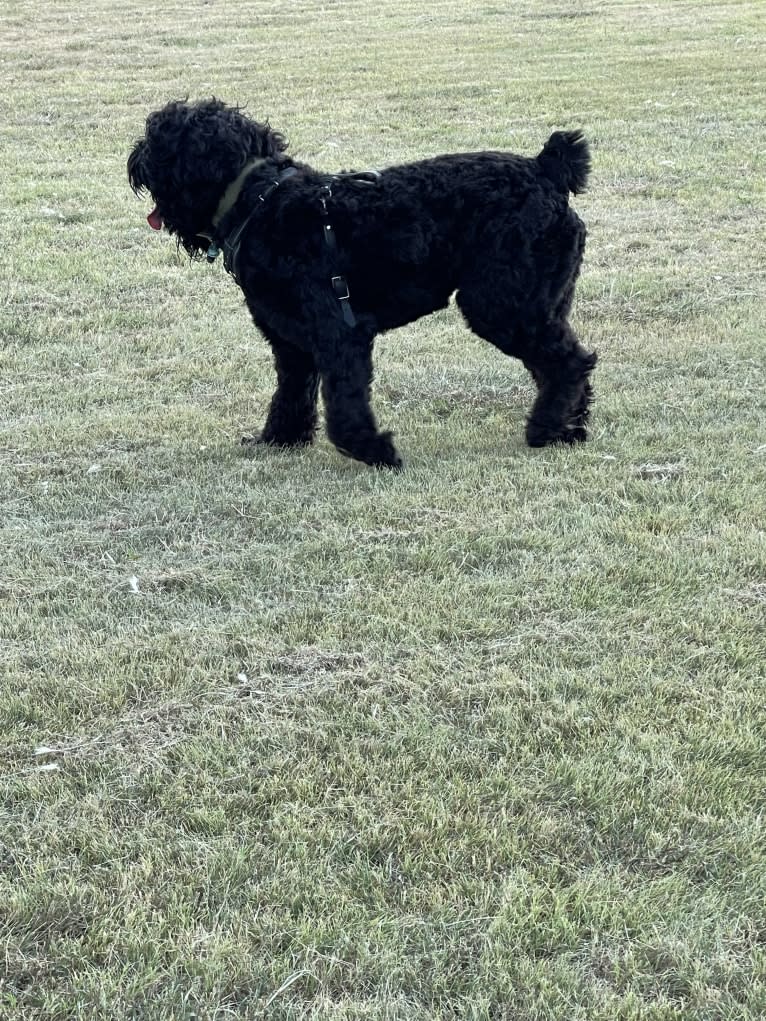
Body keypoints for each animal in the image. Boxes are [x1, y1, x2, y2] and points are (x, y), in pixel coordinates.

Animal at [129, 98, 596, 467]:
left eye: (160, 138)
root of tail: (545, 169)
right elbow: (290, 394)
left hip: (503, 306)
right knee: (567, 360)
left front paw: (375, 451)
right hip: (541, 303)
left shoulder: (341, 333)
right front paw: (278, 440)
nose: (133, 160)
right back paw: (569, 430)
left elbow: (344, 404)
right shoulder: (291, 343)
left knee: (569, 362)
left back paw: (543, 430)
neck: (262, 201)